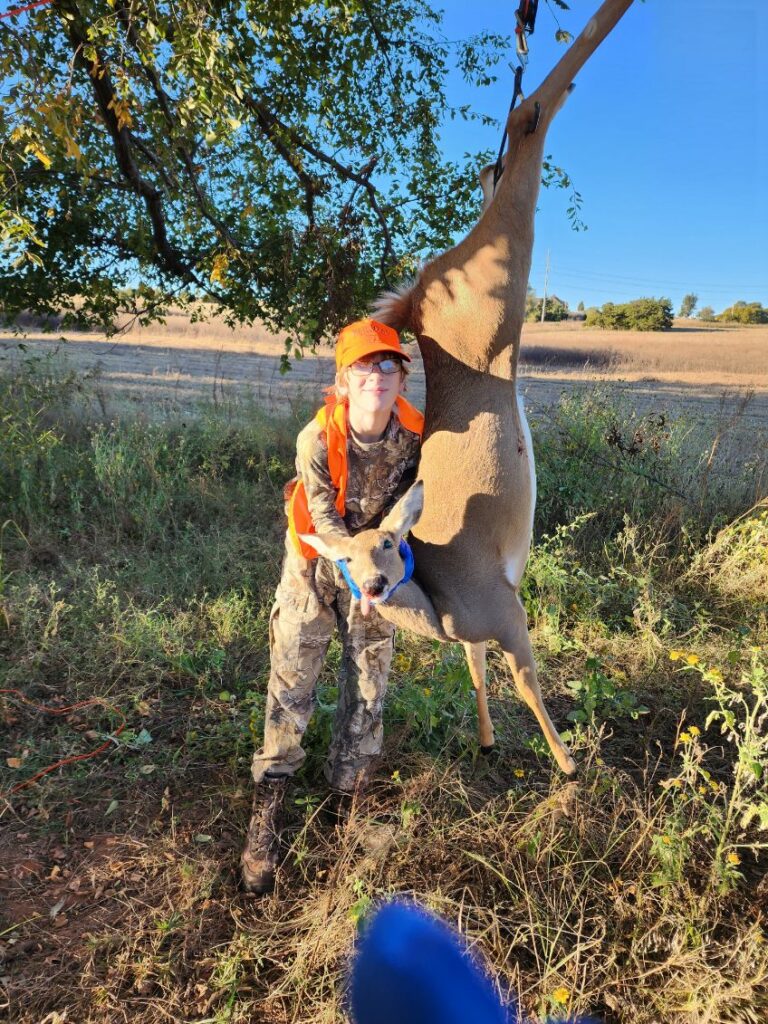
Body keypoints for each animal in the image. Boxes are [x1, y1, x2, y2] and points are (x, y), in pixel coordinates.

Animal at [299, 0, 636, 777]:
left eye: (390, 545)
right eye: (343, 557)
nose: (374, 588)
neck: (448, 607)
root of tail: (424, 297)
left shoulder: (510, 612)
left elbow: (527, 681)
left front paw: (566, 766)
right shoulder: (486, 629)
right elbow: (480, 673)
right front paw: (487, 740)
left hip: (497, 288)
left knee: (531, 111)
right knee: (505, 150)